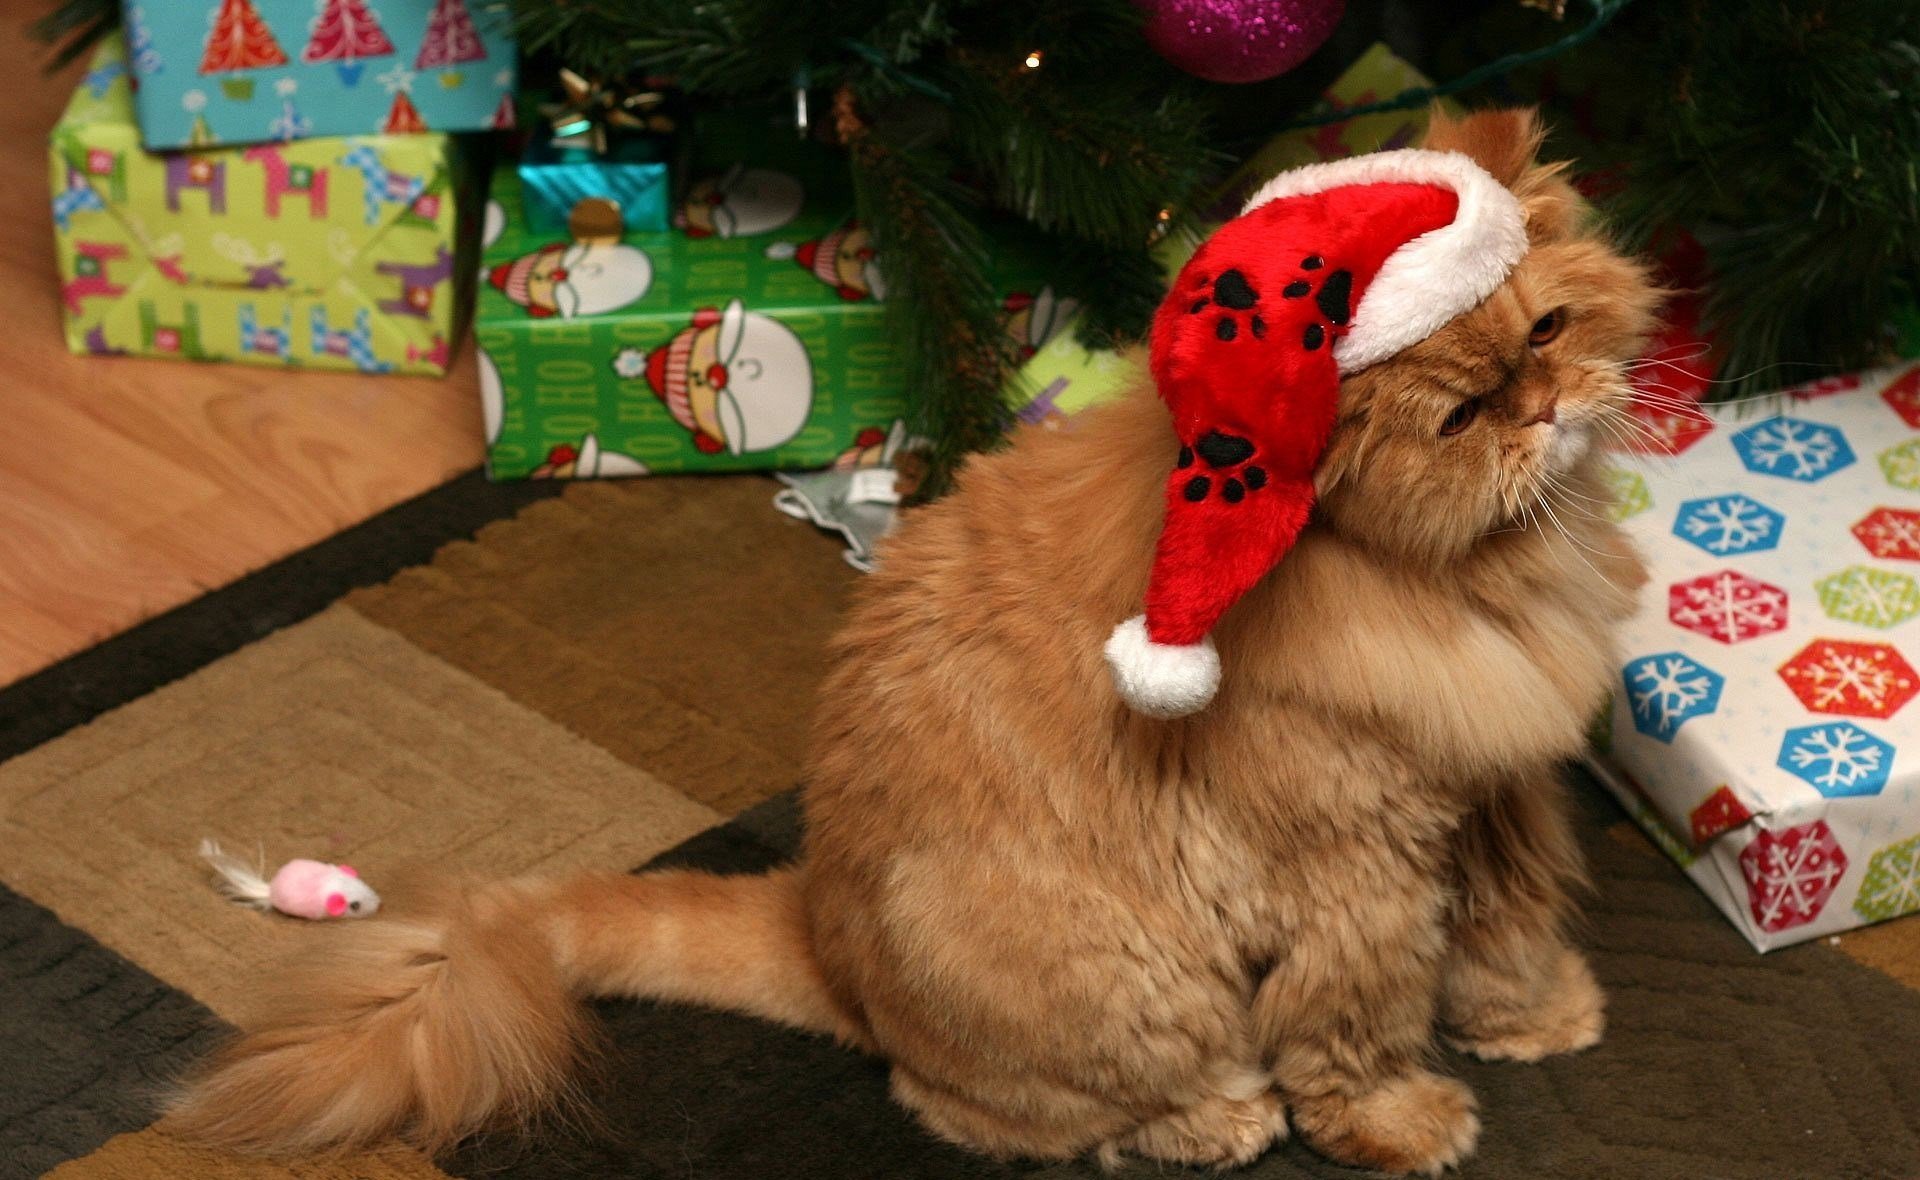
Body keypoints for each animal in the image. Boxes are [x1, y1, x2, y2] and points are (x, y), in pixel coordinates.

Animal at [172, 108, 1658, 1174]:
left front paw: (1537, 1017)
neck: (1470, 579)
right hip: (1124, 973)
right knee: (987, 1106)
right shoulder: (1356, 867)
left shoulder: (1494, 794)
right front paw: (1405, 1122)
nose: (1539, 408)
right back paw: (1210, 1121)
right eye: (1459, 418)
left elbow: (1510, 930)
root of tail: (823, 929)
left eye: (1549, 329)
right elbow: (1358, 1028)